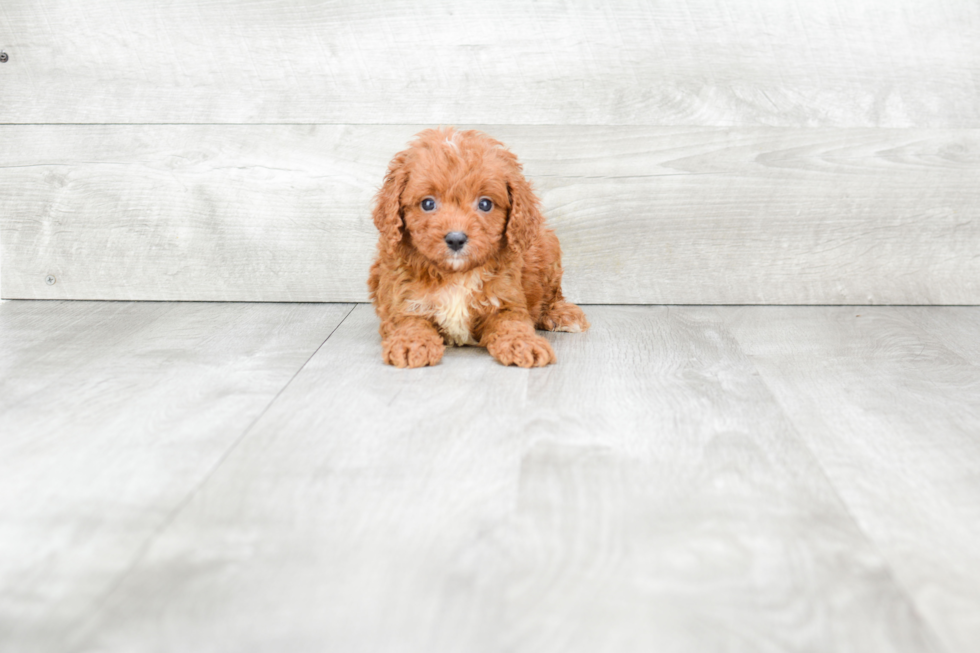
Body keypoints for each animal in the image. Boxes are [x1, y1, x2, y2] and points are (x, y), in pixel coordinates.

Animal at [370, 127, 588, 366]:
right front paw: (412, 345)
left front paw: (523, 344)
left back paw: (559, 314)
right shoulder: (403, 301)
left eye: (485, 204)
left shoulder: (506, 301)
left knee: (551, 294)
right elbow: (409, 322)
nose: (456, 239)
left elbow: (513, 324)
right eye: (428, 203)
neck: (456, 275)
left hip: (547, 246)